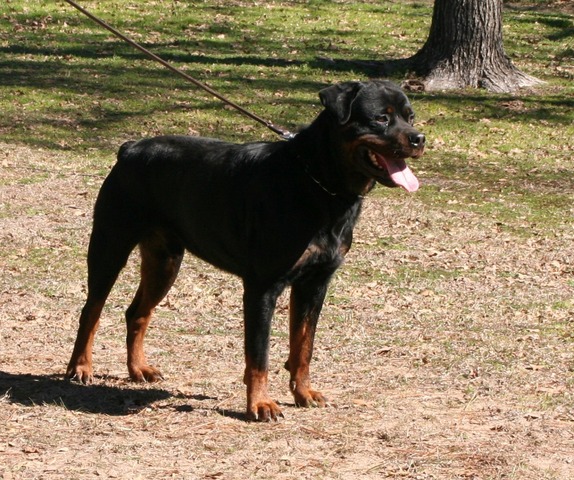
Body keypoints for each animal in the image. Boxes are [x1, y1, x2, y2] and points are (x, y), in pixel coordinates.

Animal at [67, 80, 426, 422]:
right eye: (381, 118)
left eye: (410, 117)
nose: (419, 138)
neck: (317, 182)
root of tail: (129, 149)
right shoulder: (262, 287)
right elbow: (259, 354)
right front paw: (260, 404)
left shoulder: (315, 283)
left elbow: (303, 346)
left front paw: (303, 393)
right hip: (110, 245)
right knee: (91, 310)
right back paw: (80, 367)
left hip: (164, 261)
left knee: (137, 313)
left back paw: (138, 369)